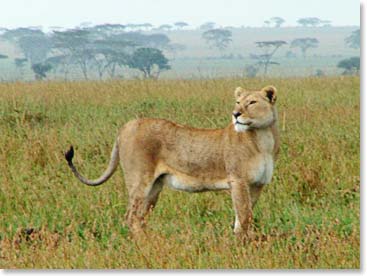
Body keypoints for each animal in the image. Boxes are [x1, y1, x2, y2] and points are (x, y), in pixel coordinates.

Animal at [64, 85, 280, 238]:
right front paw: (245, 244)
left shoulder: (256, 184)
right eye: (237, 102)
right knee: (130, 217)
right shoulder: (238, 181)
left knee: (140, 217)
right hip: (139, 180)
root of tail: (126, 126)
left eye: (252, 102)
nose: (235, 114)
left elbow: (242, 217)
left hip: (154, 187)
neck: (263, 137)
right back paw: (145, 244)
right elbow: (244, 217)